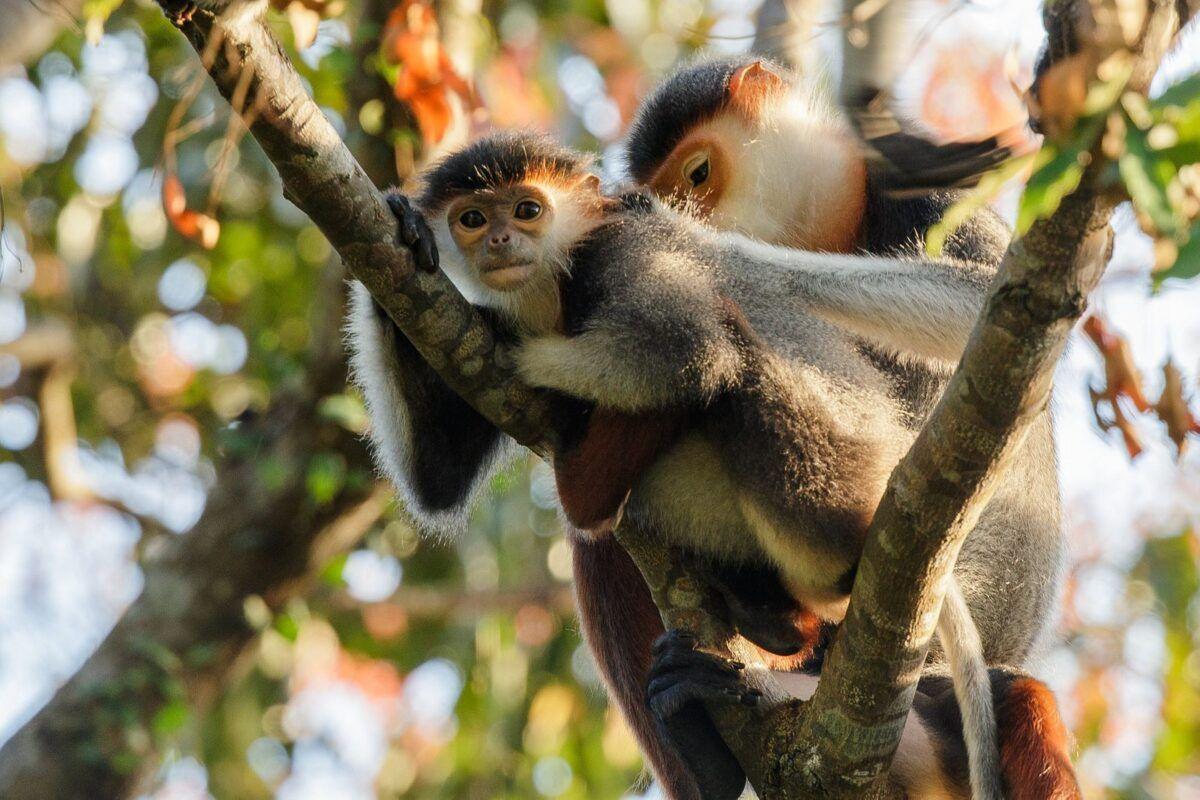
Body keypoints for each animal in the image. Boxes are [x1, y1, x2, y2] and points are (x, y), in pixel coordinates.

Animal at [343, 133, 1075, 800]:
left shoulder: (622, 257)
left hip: (843, 474)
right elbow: (438, 481)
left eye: (526, 210)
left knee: (731, 352)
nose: (497, 241)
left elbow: (690, 349)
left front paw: (533, 352)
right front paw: (404, 231)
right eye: (472, 218)